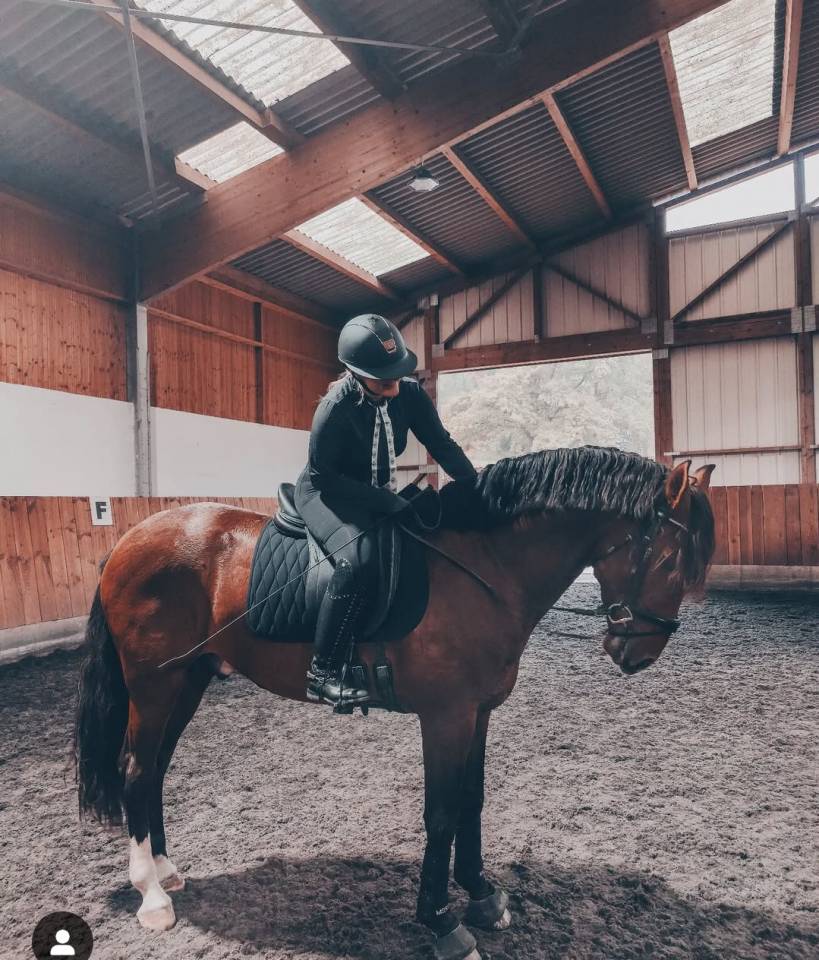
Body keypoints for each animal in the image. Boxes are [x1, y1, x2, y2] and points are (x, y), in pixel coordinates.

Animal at [74, 447, 715, 960]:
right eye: (669, 561)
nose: (638, 654)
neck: (485, 567)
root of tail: (128, 541)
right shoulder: (446, 716)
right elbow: (441, 813)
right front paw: (442, 923)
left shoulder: (479, 712)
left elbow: (472, 803)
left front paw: (483, 897)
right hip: (155, 685)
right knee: (136, 770)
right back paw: (152, 896)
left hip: (189, 680)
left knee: (155, 770)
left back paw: (166, 871)